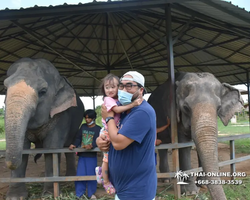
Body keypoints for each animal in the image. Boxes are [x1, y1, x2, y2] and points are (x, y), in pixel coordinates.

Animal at [3, 57, 84, 200]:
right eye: (5, 87)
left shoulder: (61, 115)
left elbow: (52, 148)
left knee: (69, 145)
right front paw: (15, 197)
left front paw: (50, 194)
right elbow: (23, 148)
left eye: (43, 92)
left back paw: (70, 178)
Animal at [147, 72, 243, 200]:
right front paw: (190, 192)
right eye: (186, 107)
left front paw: (203, 185)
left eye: (218, 107)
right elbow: (184, 146)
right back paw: (166, 179)